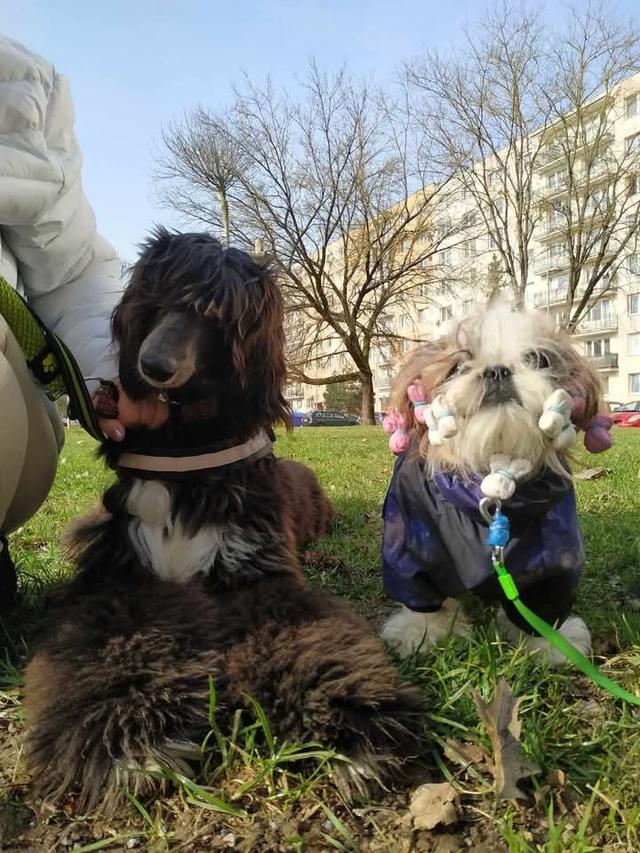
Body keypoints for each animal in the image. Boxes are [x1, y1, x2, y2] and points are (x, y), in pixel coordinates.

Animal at [25, 228, 424, 812]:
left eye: (220, 317)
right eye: (159, 294)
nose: (153, 365)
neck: (187, 445)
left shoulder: (256, 573)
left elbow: (307, 638)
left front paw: (348, 723)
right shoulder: (124, 577)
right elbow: (111, 645)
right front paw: (126, 739)